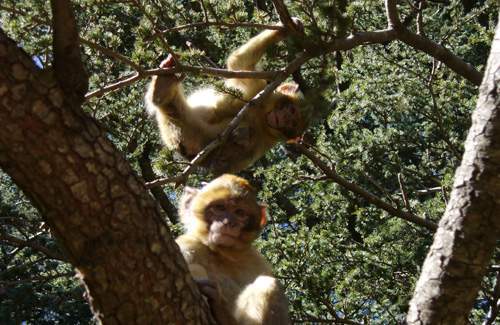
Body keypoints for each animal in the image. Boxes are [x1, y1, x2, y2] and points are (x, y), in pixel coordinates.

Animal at [178, 175, 292, 324]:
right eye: (219, 207)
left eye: (240, 213)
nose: (229, 222)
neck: (222, 253)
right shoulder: (186, 246)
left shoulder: (257, 260)